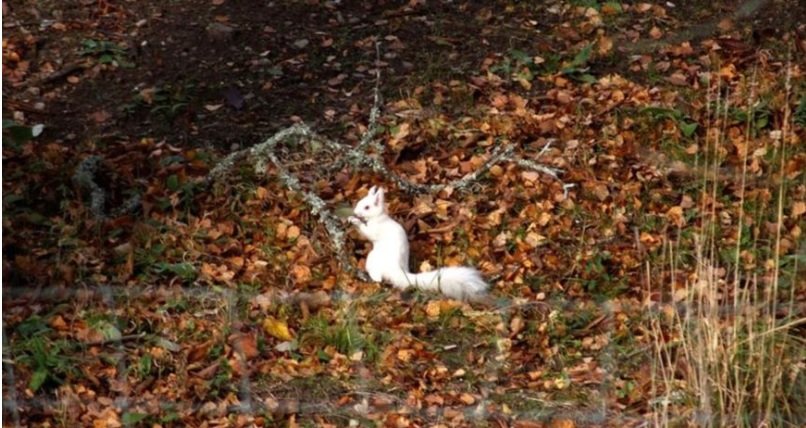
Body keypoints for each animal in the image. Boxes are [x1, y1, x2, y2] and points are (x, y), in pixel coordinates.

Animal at [348, 186, 490, 300]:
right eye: (359, 202)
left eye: (367, 207)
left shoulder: (376, 229)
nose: (355, 212)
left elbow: (366, 232)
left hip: (373, 258)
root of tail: (397, 271)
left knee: (378, 276)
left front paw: (355, 221)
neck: (378, 217)